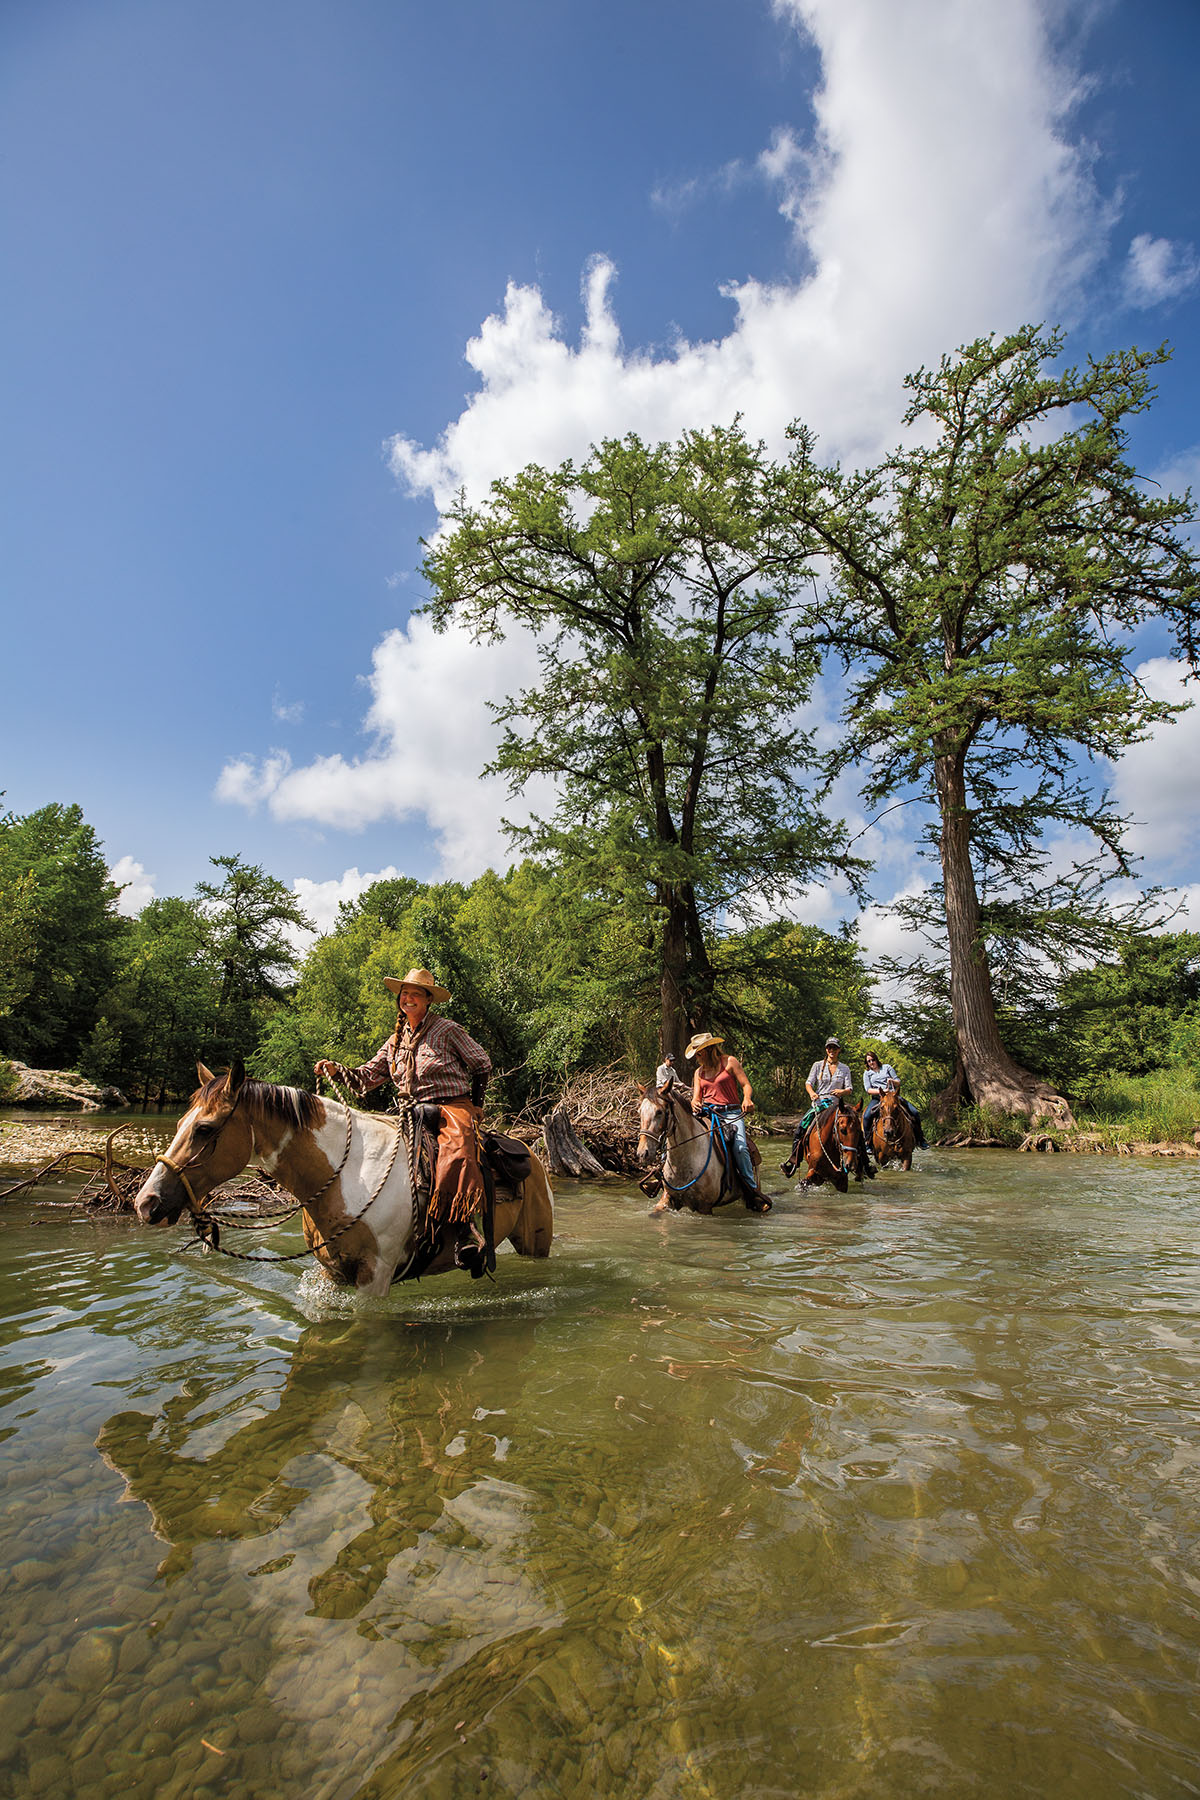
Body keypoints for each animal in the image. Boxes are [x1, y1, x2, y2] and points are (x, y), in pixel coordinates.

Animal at [131, 1051, 554, 1296]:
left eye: (204, 1129)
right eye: (181, 1122)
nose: (145, 1203)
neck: (346, 1176)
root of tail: (530, 1154)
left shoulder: (375, 1277)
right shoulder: (332, 1273)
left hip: (537, 1241)